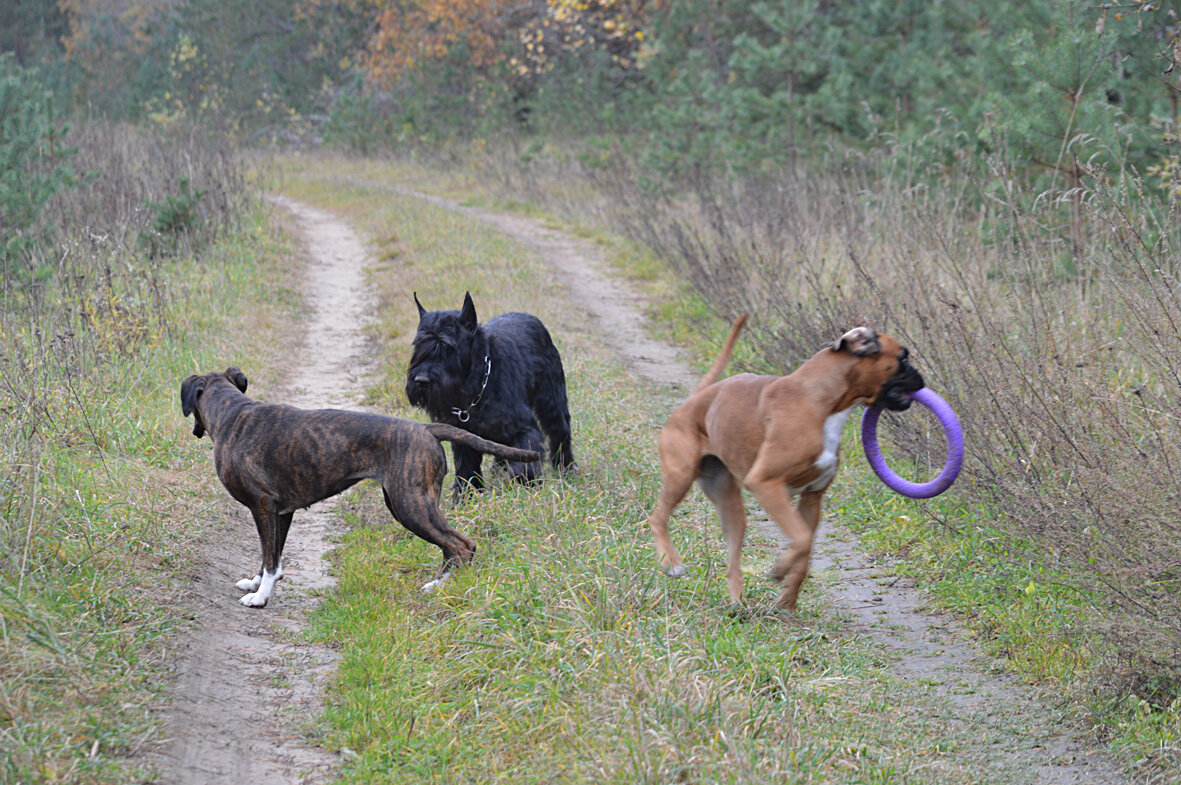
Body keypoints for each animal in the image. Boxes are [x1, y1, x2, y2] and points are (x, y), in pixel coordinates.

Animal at [179, 368, 540, 604]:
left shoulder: (262, 506)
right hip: (406, 504)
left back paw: (438, 587)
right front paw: (256, 582)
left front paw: (260, 596)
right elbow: (273, 555)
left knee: (461, 545)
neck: (232, 412)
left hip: (412, 506)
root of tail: (425, 428)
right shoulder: (280, 513)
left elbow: (269, 558)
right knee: (454, 547)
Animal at [403, 290, 573, 493]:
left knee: (560, 433)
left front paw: (526, 485)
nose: (421, 381)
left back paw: (567, 469)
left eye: (448, 348)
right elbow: (466, 471)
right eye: (418, 347)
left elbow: (524, 461)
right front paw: (465, 497)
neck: (478, 385)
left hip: (552, 403)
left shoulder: (525, 428)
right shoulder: (463, 439)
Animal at [642, 316, 925, 609]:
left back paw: (739, 605)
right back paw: (672, 563)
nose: (921, 375)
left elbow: (806, 549)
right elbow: (801, 539)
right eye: (903, 357)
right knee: (657, 517)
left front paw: (787, 600)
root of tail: (694, 401)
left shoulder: (812, 498)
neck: (822, 403)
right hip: (680, 476)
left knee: (732, 561)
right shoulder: (766, 484)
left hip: (730, 506)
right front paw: (779, 571)